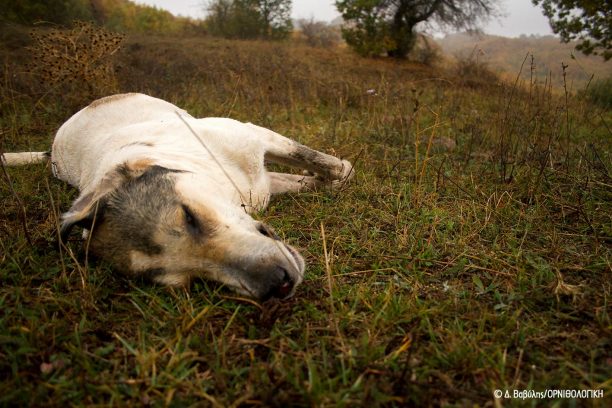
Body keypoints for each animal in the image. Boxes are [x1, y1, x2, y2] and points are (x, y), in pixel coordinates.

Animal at [1, 94, 354, 302]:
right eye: (188, 281)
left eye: (189, 216)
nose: (278, 284)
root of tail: (52, 150)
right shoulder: (263, 182)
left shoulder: (257, 138)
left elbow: (329, 165)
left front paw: (332, 174)